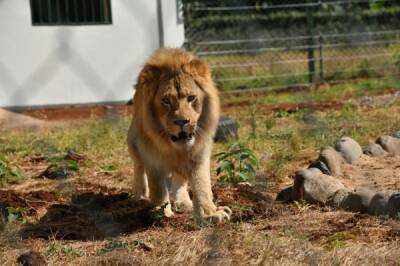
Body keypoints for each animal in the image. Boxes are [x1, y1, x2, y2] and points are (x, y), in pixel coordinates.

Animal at [125, 48, 231, 222]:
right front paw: (161, 211)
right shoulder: (150, 153)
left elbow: (202, 182)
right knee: (139, 166)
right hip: (134, 141)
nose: (182, 121)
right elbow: (157, 186)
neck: (174, 147)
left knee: (179, 177)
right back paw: (140, 195)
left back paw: (182, 201)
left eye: (191, 98)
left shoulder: (199, 151)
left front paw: (209, 213)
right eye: (166, 100)